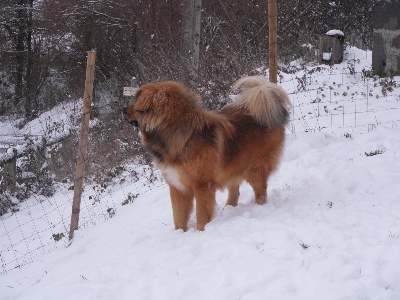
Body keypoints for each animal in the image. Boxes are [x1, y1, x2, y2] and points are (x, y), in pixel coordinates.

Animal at [125, 76, 290, 231]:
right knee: (234, 191)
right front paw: (179, 233)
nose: (122, 111)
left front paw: (201, 231)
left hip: (253, 169)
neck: (182, 137)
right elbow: (178, 216)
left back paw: (259, 206)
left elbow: (202, 213)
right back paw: (229, 208)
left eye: (137, 100)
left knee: (260, 191)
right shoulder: (177, 187)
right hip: (234, 166)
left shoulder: (202, 185)